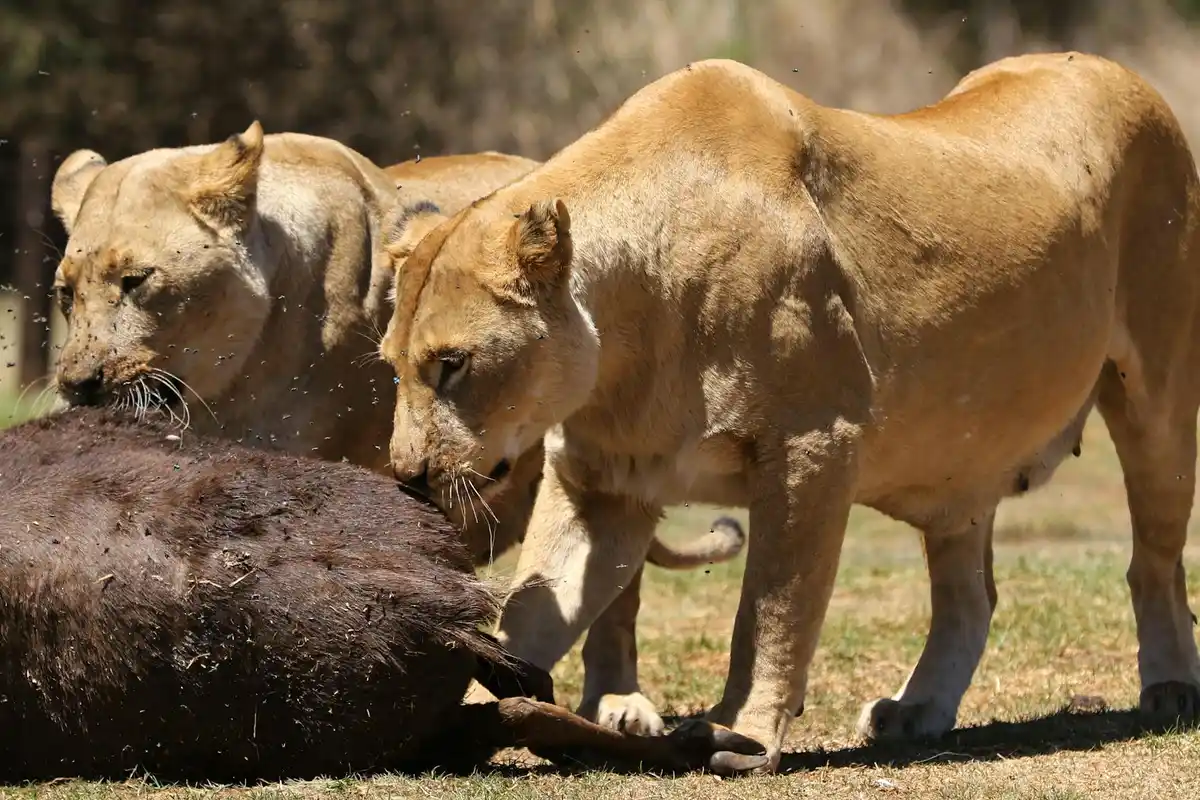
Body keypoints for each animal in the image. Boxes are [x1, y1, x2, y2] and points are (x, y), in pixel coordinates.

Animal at [382, 52, 1200, 773]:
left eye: (451, 364)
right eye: (392, 364)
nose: (407, 477)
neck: (624, 338)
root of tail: (1116, 70)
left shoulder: (813, 447)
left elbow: (772, 610)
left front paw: (743, 732)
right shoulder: (602, 483)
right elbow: (534, 602)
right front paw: (477, 691)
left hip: (1159, 396)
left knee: (1153, 562)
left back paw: (1170, 687)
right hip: (964, 456)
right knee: (970, 596)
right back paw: (916, 709)